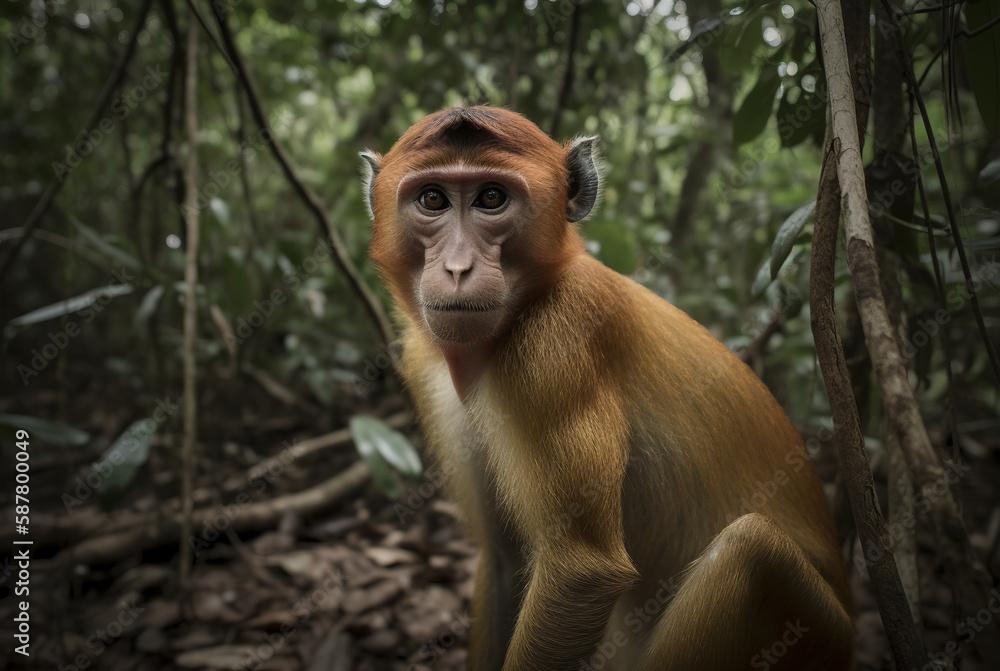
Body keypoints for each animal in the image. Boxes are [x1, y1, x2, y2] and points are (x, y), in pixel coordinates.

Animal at [361, 106, 853, 671]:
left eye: (491, 198)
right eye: (433, 200)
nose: (457, 269)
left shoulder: (557, 344)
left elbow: (581, 571)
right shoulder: (428, 366)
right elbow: (506, 557)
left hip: (816, 630)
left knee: (750, 551)